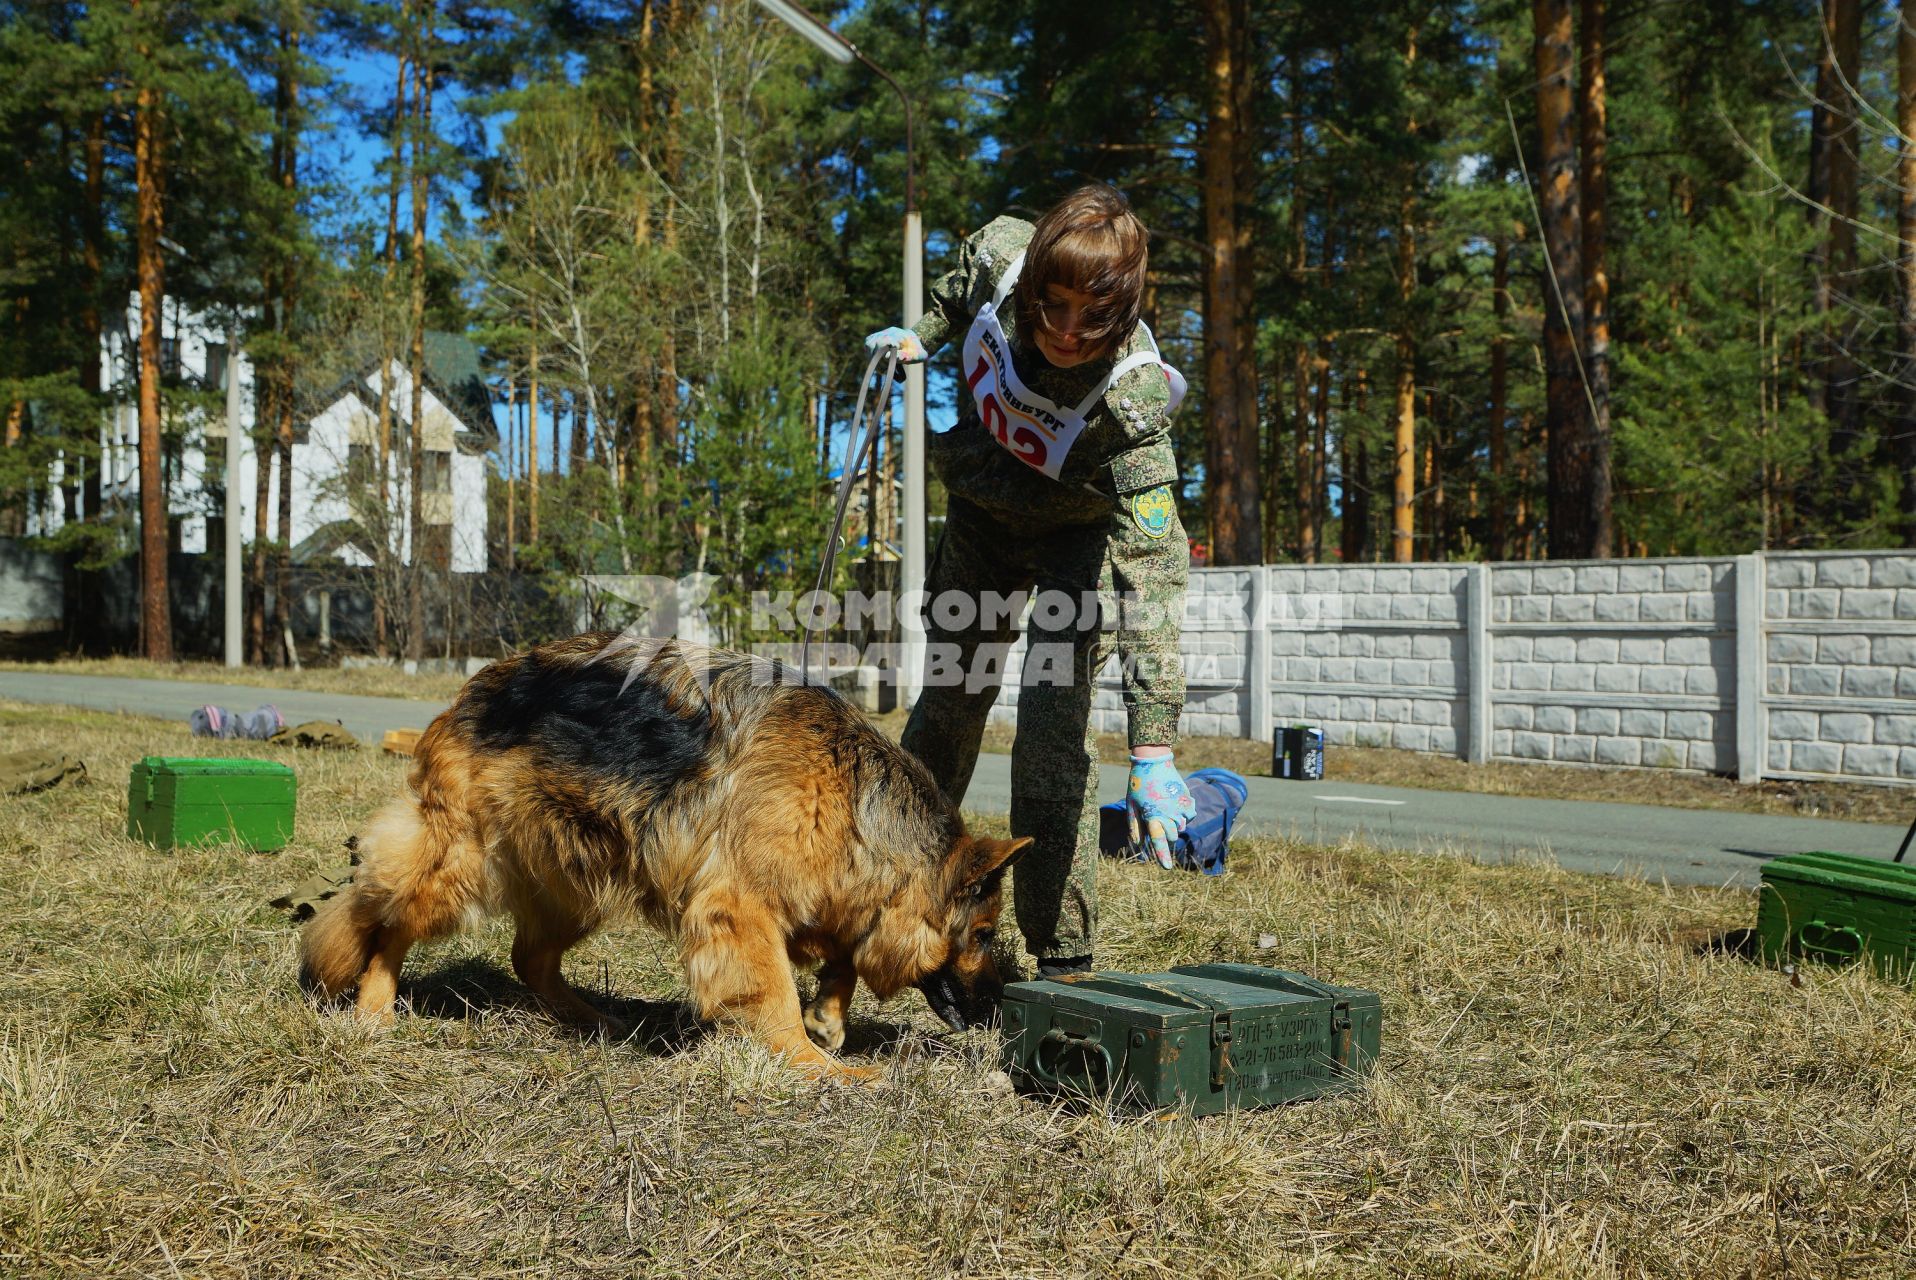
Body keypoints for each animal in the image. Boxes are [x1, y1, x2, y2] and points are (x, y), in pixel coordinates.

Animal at [295, 636, 1034, 1073]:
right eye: (985, 933)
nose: (1002, 1005)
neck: (852, 793)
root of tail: (475, 687)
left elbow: (844, 953)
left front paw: (830, 1015)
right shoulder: (740, 908)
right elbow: (774, 994)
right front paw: (818, 1064)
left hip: (580, 876)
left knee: (528, 957)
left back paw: (590, 1019)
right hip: (460, 862)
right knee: (387, 923)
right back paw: (375, 1008)